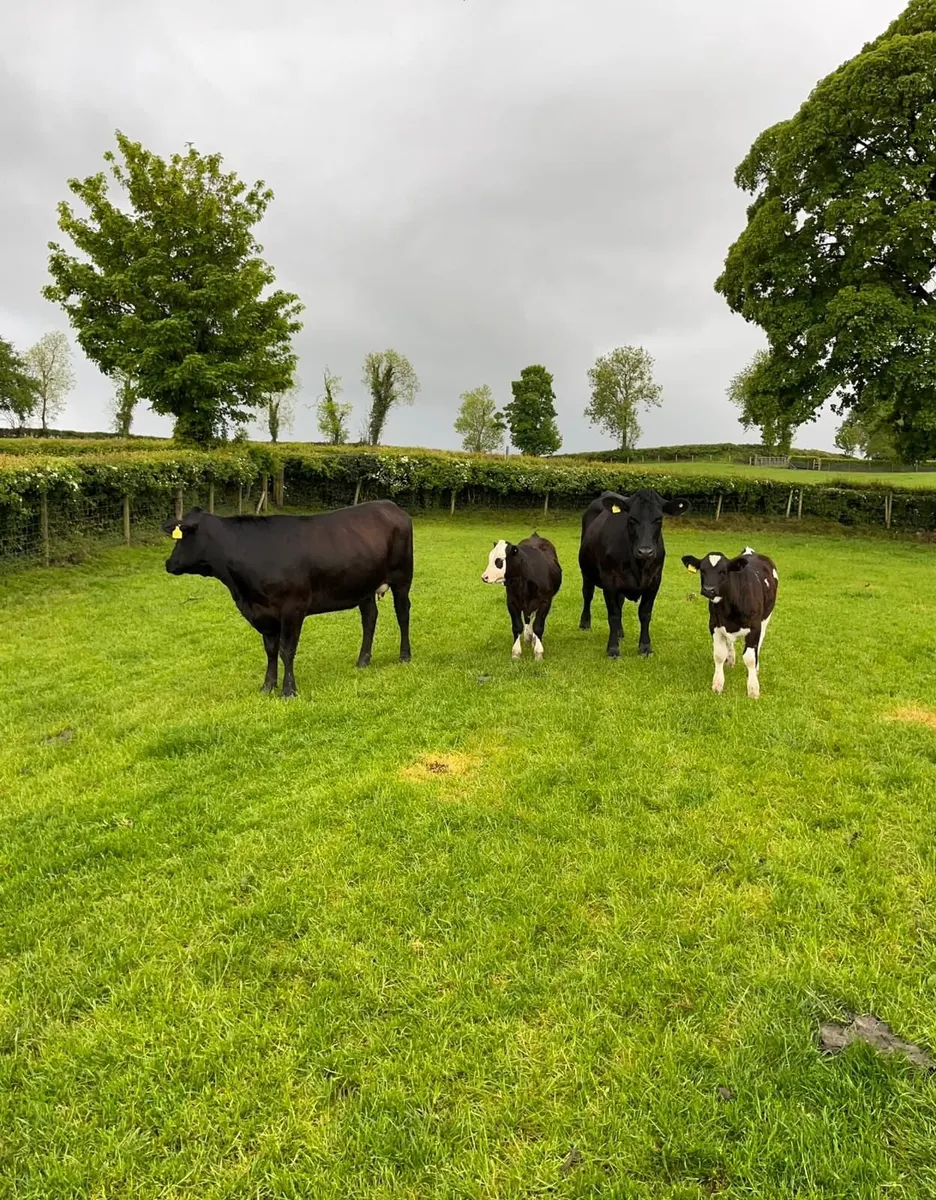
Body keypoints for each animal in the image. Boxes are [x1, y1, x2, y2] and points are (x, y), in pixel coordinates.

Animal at [163, 500, 413, 698]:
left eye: (183, 536)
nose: (169, 563)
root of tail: (390, 505)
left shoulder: (293, 608)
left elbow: (287, 649)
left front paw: (288, 690)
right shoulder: (263, 613)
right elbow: (271, 650)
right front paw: (267, 686)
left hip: (402, 577)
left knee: (402, 613)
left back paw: (404, 656)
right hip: (363, 585)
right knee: (369, 617)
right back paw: (363, 660)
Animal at [481, 532, 562, 660]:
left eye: (499, 560)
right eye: (490, 558)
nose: (484, 577)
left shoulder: (545, 601)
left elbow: (538, 626)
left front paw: (538, 652)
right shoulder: (512, 601)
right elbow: (517, 626)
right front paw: (516, 653)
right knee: (528, 618)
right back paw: (528, 637)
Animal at [578, 489, 690, 659]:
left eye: (659, 518)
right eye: (631, 518)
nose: (645, 551)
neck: (639, 565)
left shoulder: (655, 580)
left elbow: (645, 613)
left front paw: (645, 647)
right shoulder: (609, 580)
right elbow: (613, 614)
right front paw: (613, 649)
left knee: (620, 601)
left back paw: (619, 632)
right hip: (587, 572)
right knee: (587, 594)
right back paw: (585, 623)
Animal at [680, 545, 778, 699]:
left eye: (723, 571)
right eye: (702, 570)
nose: (708, 589)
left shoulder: (755, 627)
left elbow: (750, 658)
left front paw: (753, 689)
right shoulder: (714, 625)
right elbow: (719, 655)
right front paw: (717, 684)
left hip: (765, 619)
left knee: (759, 643)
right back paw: (730, 659)